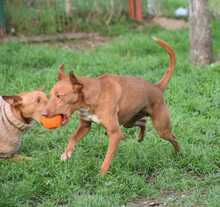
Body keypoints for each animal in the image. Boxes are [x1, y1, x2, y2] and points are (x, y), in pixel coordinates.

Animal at [43, 38, 180, 175]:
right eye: (50, 95)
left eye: (59, 96)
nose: (43, 114)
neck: (95, 95)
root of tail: (157, 87)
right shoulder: (85, 126)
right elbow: (72, 138)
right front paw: (67, 153)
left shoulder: (114, 134)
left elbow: (107, 158)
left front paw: (101, 175)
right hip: (129, 121)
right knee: (143, 121)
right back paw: (141, 137)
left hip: (162, 129)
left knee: (173, 138)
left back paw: (178, 154)